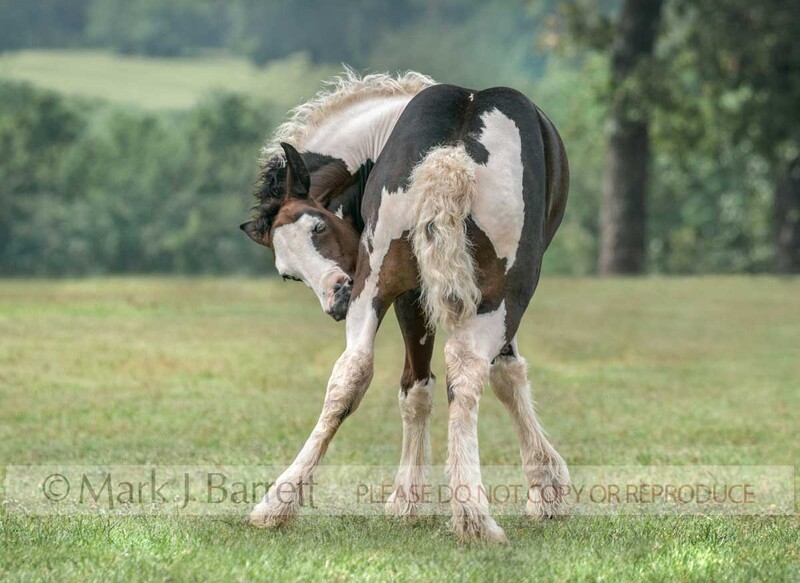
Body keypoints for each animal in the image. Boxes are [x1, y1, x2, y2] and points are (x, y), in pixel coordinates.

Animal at [240, 69, 570, 542]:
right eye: (289, 272)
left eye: (319, 227)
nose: (336, 297)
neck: (381, 129)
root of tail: (452, 149)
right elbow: (506, 376)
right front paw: (547, 489)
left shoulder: (409, 295)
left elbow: (414, 387)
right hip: (501, 296)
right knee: (465, 370)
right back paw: (473, 516)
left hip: (375, 286)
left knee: (351, 372)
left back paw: (278, 502)